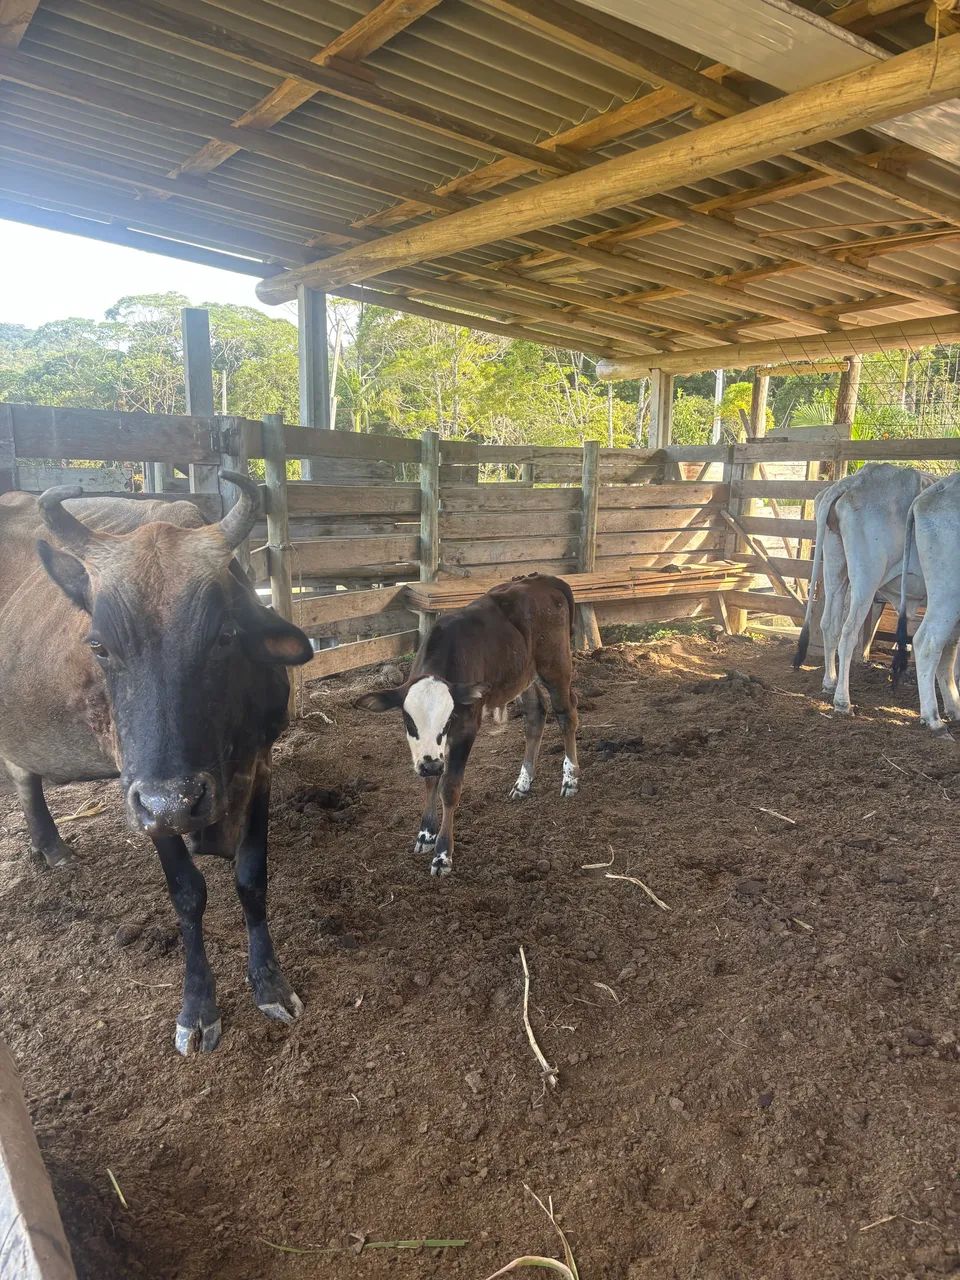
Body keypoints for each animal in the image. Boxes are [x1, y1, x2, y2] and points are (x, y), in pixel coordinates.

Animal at [0, 475, 314, 1054]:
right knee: (23, 775)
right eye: (99, 645)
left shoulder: (260, 764)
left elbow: (251, 876)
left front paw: (269, 982)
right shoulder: (142, 792)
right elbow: (188, 894)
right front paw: (198, 1006)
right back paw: (53, 847)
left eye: (225, 635)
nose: (177, 801)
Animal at [356, 574, 580, 877]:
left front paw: (442, 854)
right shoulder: (430, 753)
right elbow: (431, 783)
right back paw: (523, 783)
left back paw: (570, 778)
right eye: (408, 720)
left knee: (566, 714)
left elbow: (449, 787)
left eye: (449, 718)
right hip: (523, 674)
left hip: (556, 666)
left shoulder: (465, 730)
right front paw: (426, 833)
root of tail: (544, 579)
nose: (430, 765)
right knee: (536, 716)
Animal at [793, 463, 928, 713]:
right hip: (867, 576)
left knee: (829, 624)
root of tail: (854, 480)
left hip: (836, 568)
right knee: (848, 632)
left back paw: (830, 682)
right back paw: (842, 700)